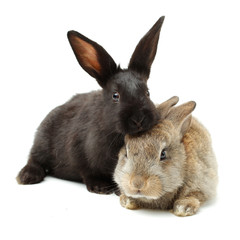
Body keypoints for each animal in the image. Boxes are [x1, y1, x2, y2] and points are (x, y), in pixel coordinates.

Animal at [16, 15, 166, 194]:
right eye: (115, 96)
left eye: (147, 92)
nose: (138, 119)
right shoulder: (79, 153)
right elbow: (87, 171)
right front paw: (100, 187)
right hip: (42, 142)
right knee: (34, 158)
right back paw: (27, 177)